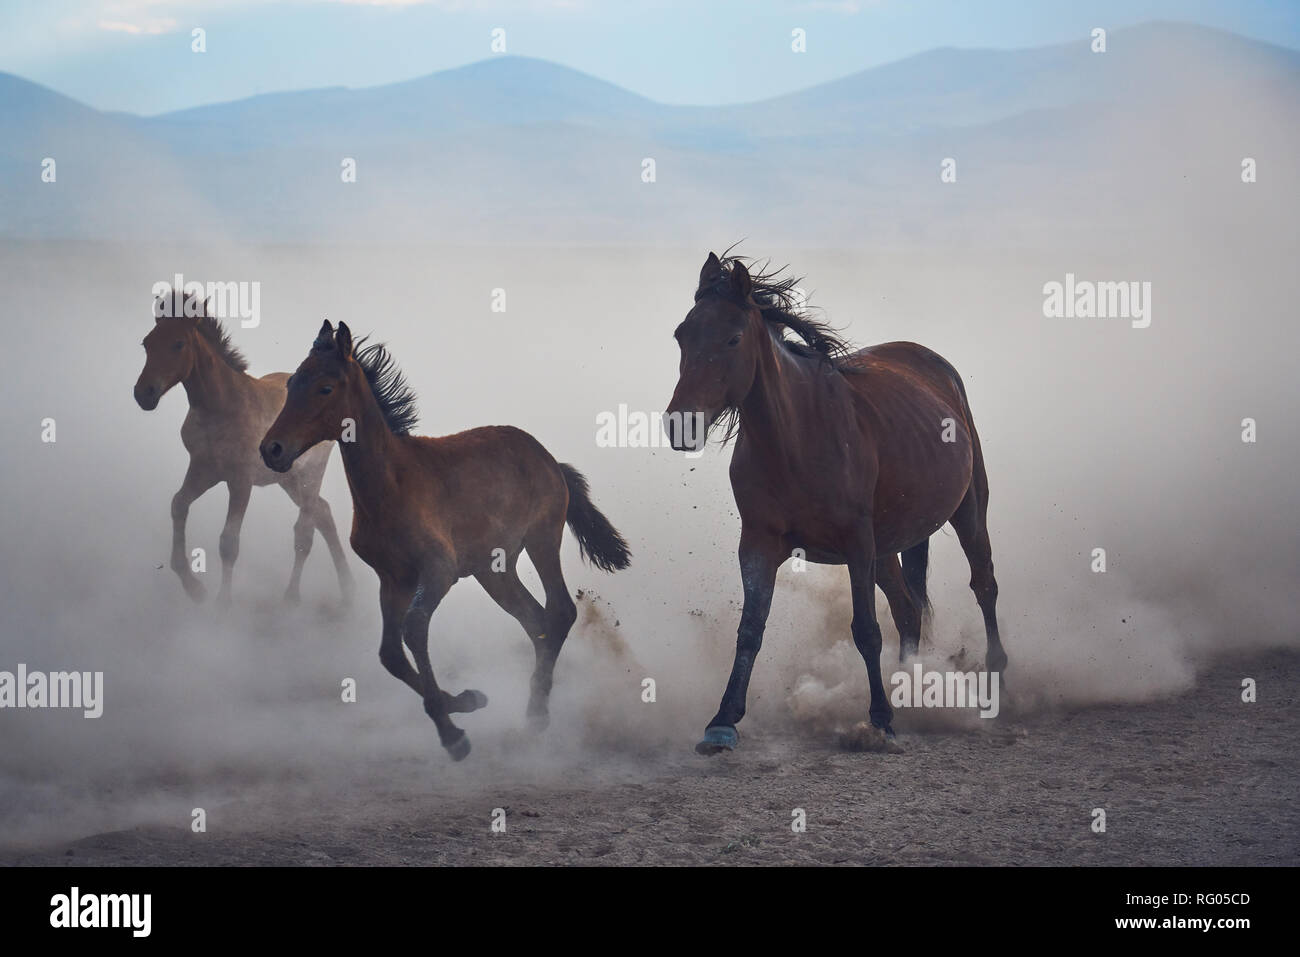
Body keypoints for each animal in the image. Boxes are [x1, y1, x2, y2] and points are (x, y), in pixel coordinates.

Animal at [133, 287, 356, 608]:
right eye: (147, 343)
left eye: (178, 344)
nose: (143, 394)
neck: (220, 407)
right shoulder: (204, 468)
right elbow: (178, 504)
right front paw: (193, 586)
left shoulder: (241, 480)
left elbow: (229, 542)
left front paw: (223, 605)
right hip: (287, 479)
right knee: (323, 514)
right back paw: (348, 590)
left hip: (310, 475)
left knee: (305, 532)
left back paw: (293, 598)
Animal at [257, 321, 629, 764]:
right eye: (292, 382)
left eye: (325, 387)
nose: (271, 449)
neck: (390, 485)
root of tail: (550, 459)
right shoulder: (392, 580)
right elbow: (391, 655)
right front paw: (466, 700)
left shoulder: (438, 571)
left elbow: (414, 630)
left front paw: (453, 734)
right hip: (493, 571)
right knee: (535, 621)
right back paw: (530, 713)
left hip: (542, 539)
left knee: (559, 611)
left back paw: (537, 715)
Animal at [665, 254, 1008, 754]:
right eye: (681, 335)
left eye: (732, 338)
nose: (679, 424)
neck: (797, 437)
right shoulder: (758, 546)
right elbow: (750, 629)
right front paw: (722, 721)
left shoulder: (857, 544)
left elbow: (865, 630)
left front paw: (880, 719)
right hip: (887, 550)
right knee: (908, 611)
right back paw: (908, 687)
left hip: (966, 512)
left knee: (983, 585)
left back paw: (994, 679)